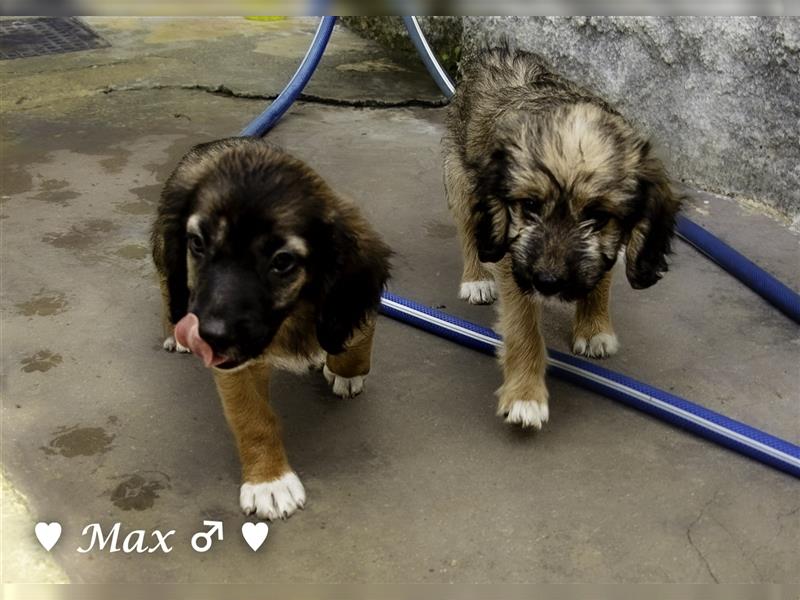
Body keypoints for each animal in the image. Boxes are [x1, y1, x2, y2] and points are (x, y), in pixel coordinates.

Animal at [152, 137, 392, 520]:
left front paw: (344, 369)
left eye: (282, 262)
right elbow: (253, 419)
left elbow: (354, 336)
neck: (290, 317)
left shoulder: (353, 296)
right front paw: (269, 481)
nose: (209, 336)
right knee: (169, 286)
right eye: (198, 244)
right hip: (166, 254)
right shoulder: (236, 364)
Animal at [444, 49, 680, 428]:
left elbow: (602, 276)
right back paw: (475, 278)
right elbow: (523, 327)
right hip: (462, 182)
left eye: (598, 217)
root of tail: (495, 53)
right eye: (529, 206)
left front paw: (593, 327)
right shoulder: (515, 259)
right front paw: (525, 395)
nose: (548, 282)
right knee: (469, 232)